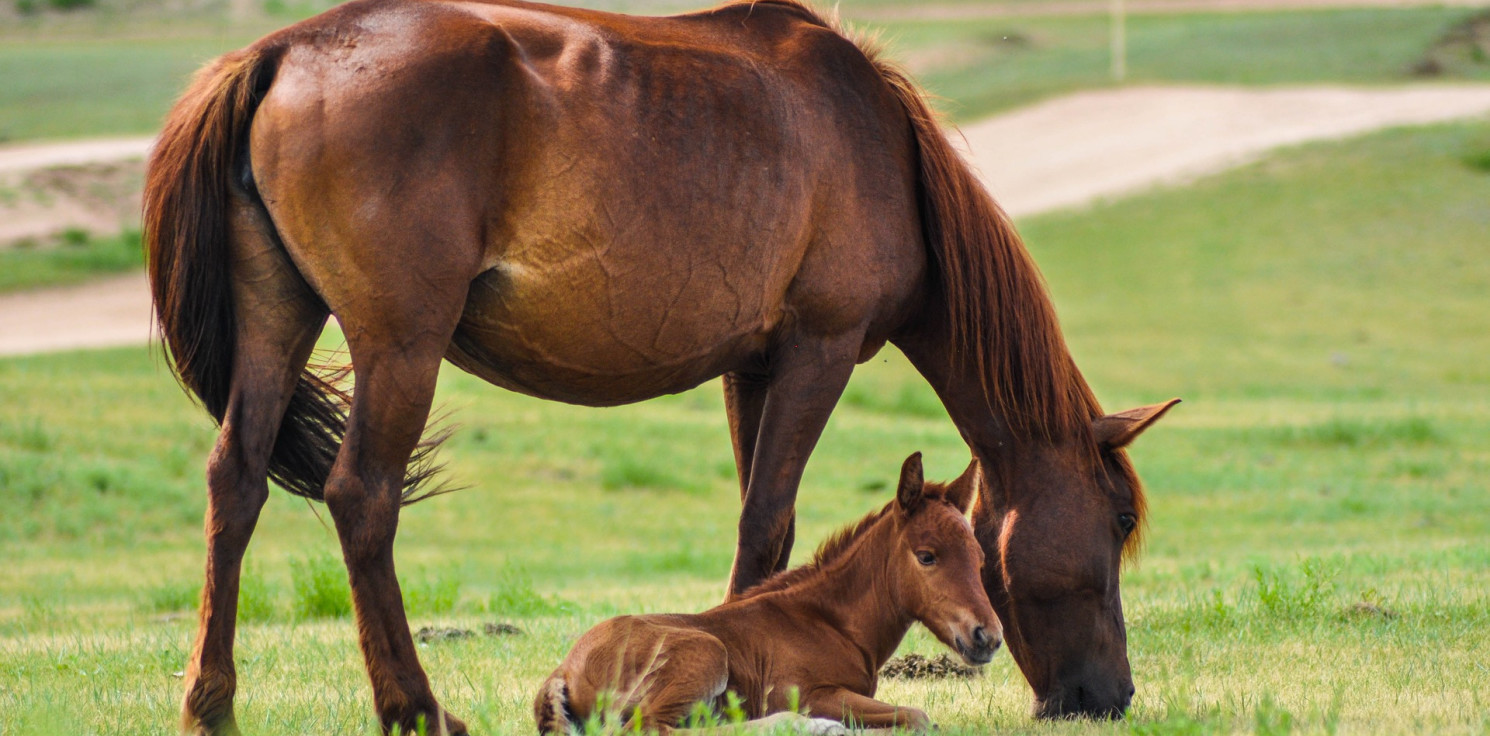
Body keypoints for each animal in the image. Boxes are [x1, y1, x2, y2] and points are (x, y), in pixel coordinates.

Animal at [536, 449, 1001, 733]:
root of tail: (563, 671)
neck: (831, 623)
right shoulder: (807, 693)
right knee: (654, 727)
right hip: (705, 654)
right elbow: (918, 716)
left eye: (979, 556)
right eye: (927, 556)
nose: (988, 637)